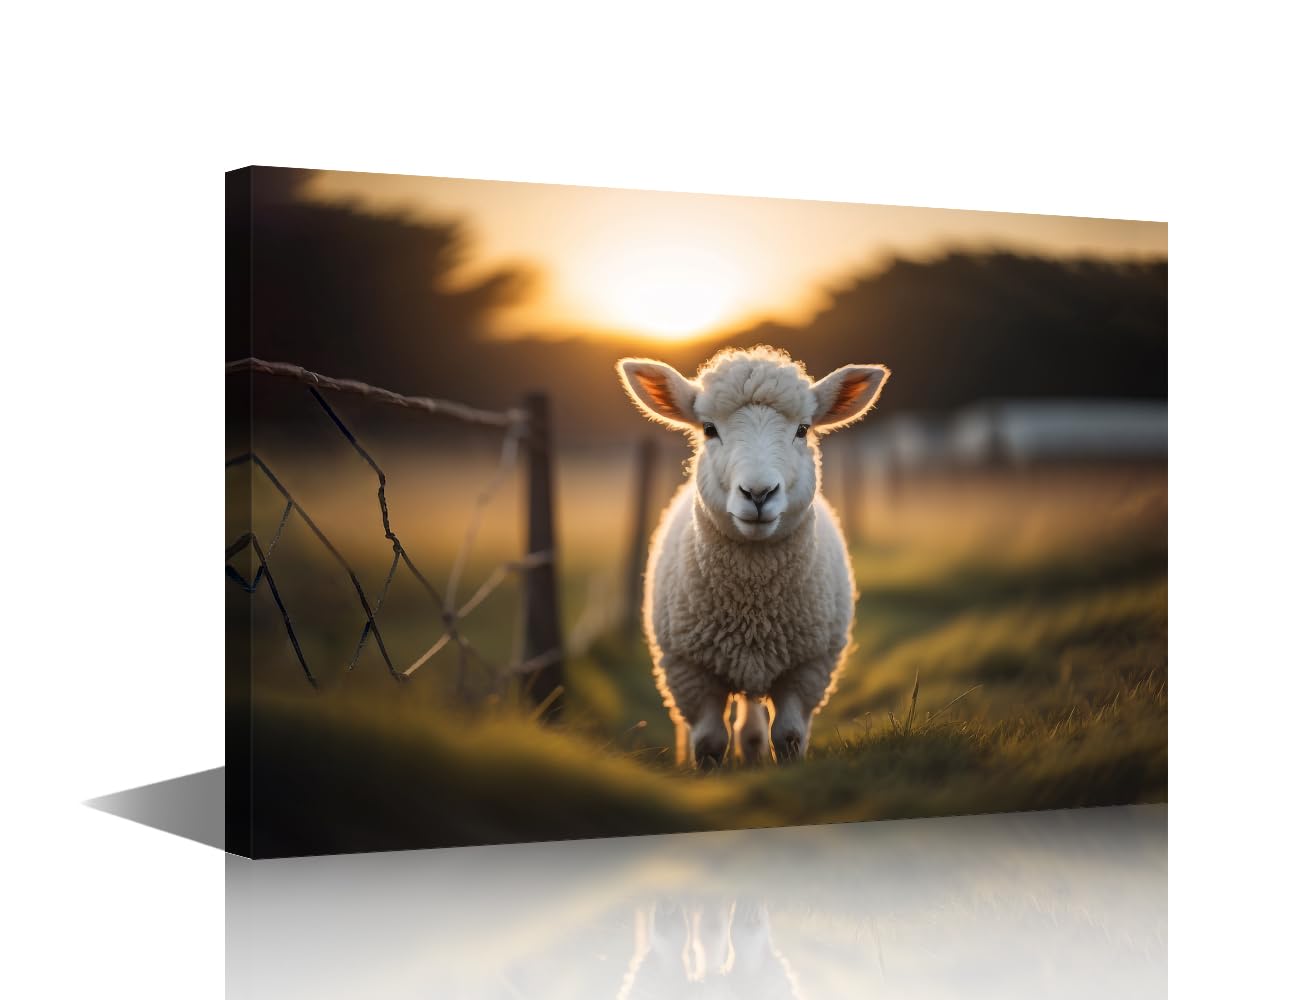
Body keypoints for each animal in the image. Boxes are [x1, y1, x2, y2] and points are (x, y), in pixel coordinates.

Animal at [617, 346, 890, 768]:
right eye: (709, 429)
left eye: (803, 429)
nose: (759, 493)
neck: (753, 606)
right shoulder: (688, 670)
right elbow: (708, 742)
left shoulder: (809, 668)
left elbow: (789, 735)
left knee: (752, 721)